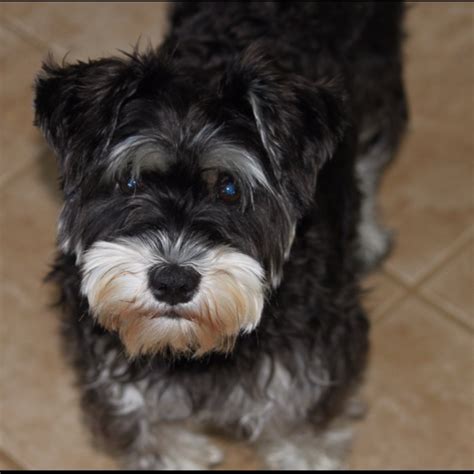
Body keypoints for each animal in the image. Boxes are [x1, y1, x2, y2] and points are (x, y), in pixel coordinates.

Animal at [33, 1, 408, 470]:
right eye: (130, 182)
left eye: (229, 188)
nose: (173, 282)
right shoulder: (129, 392)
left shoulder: (305, 381)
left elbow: (301, 438)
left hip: (377, 83)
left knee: (370, 157)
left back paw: (368, 235)